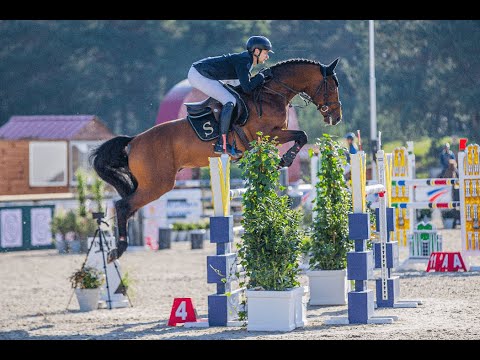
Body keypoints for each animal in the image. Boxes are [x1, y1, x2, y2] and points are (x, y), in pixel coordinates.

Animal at [90, 57, 344, 262]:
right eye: (332, 86)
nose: (336, 117)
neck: (272, 94)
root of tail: (134, 141)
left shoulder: (269, 139)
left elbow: (298, 138)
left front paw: (278, 163)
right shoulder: (269, 133)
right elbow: (302, 135)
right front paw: (287, 159)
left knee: (127, 207)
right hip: (158, 184)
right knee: (123, 205)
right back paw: (118, 250)